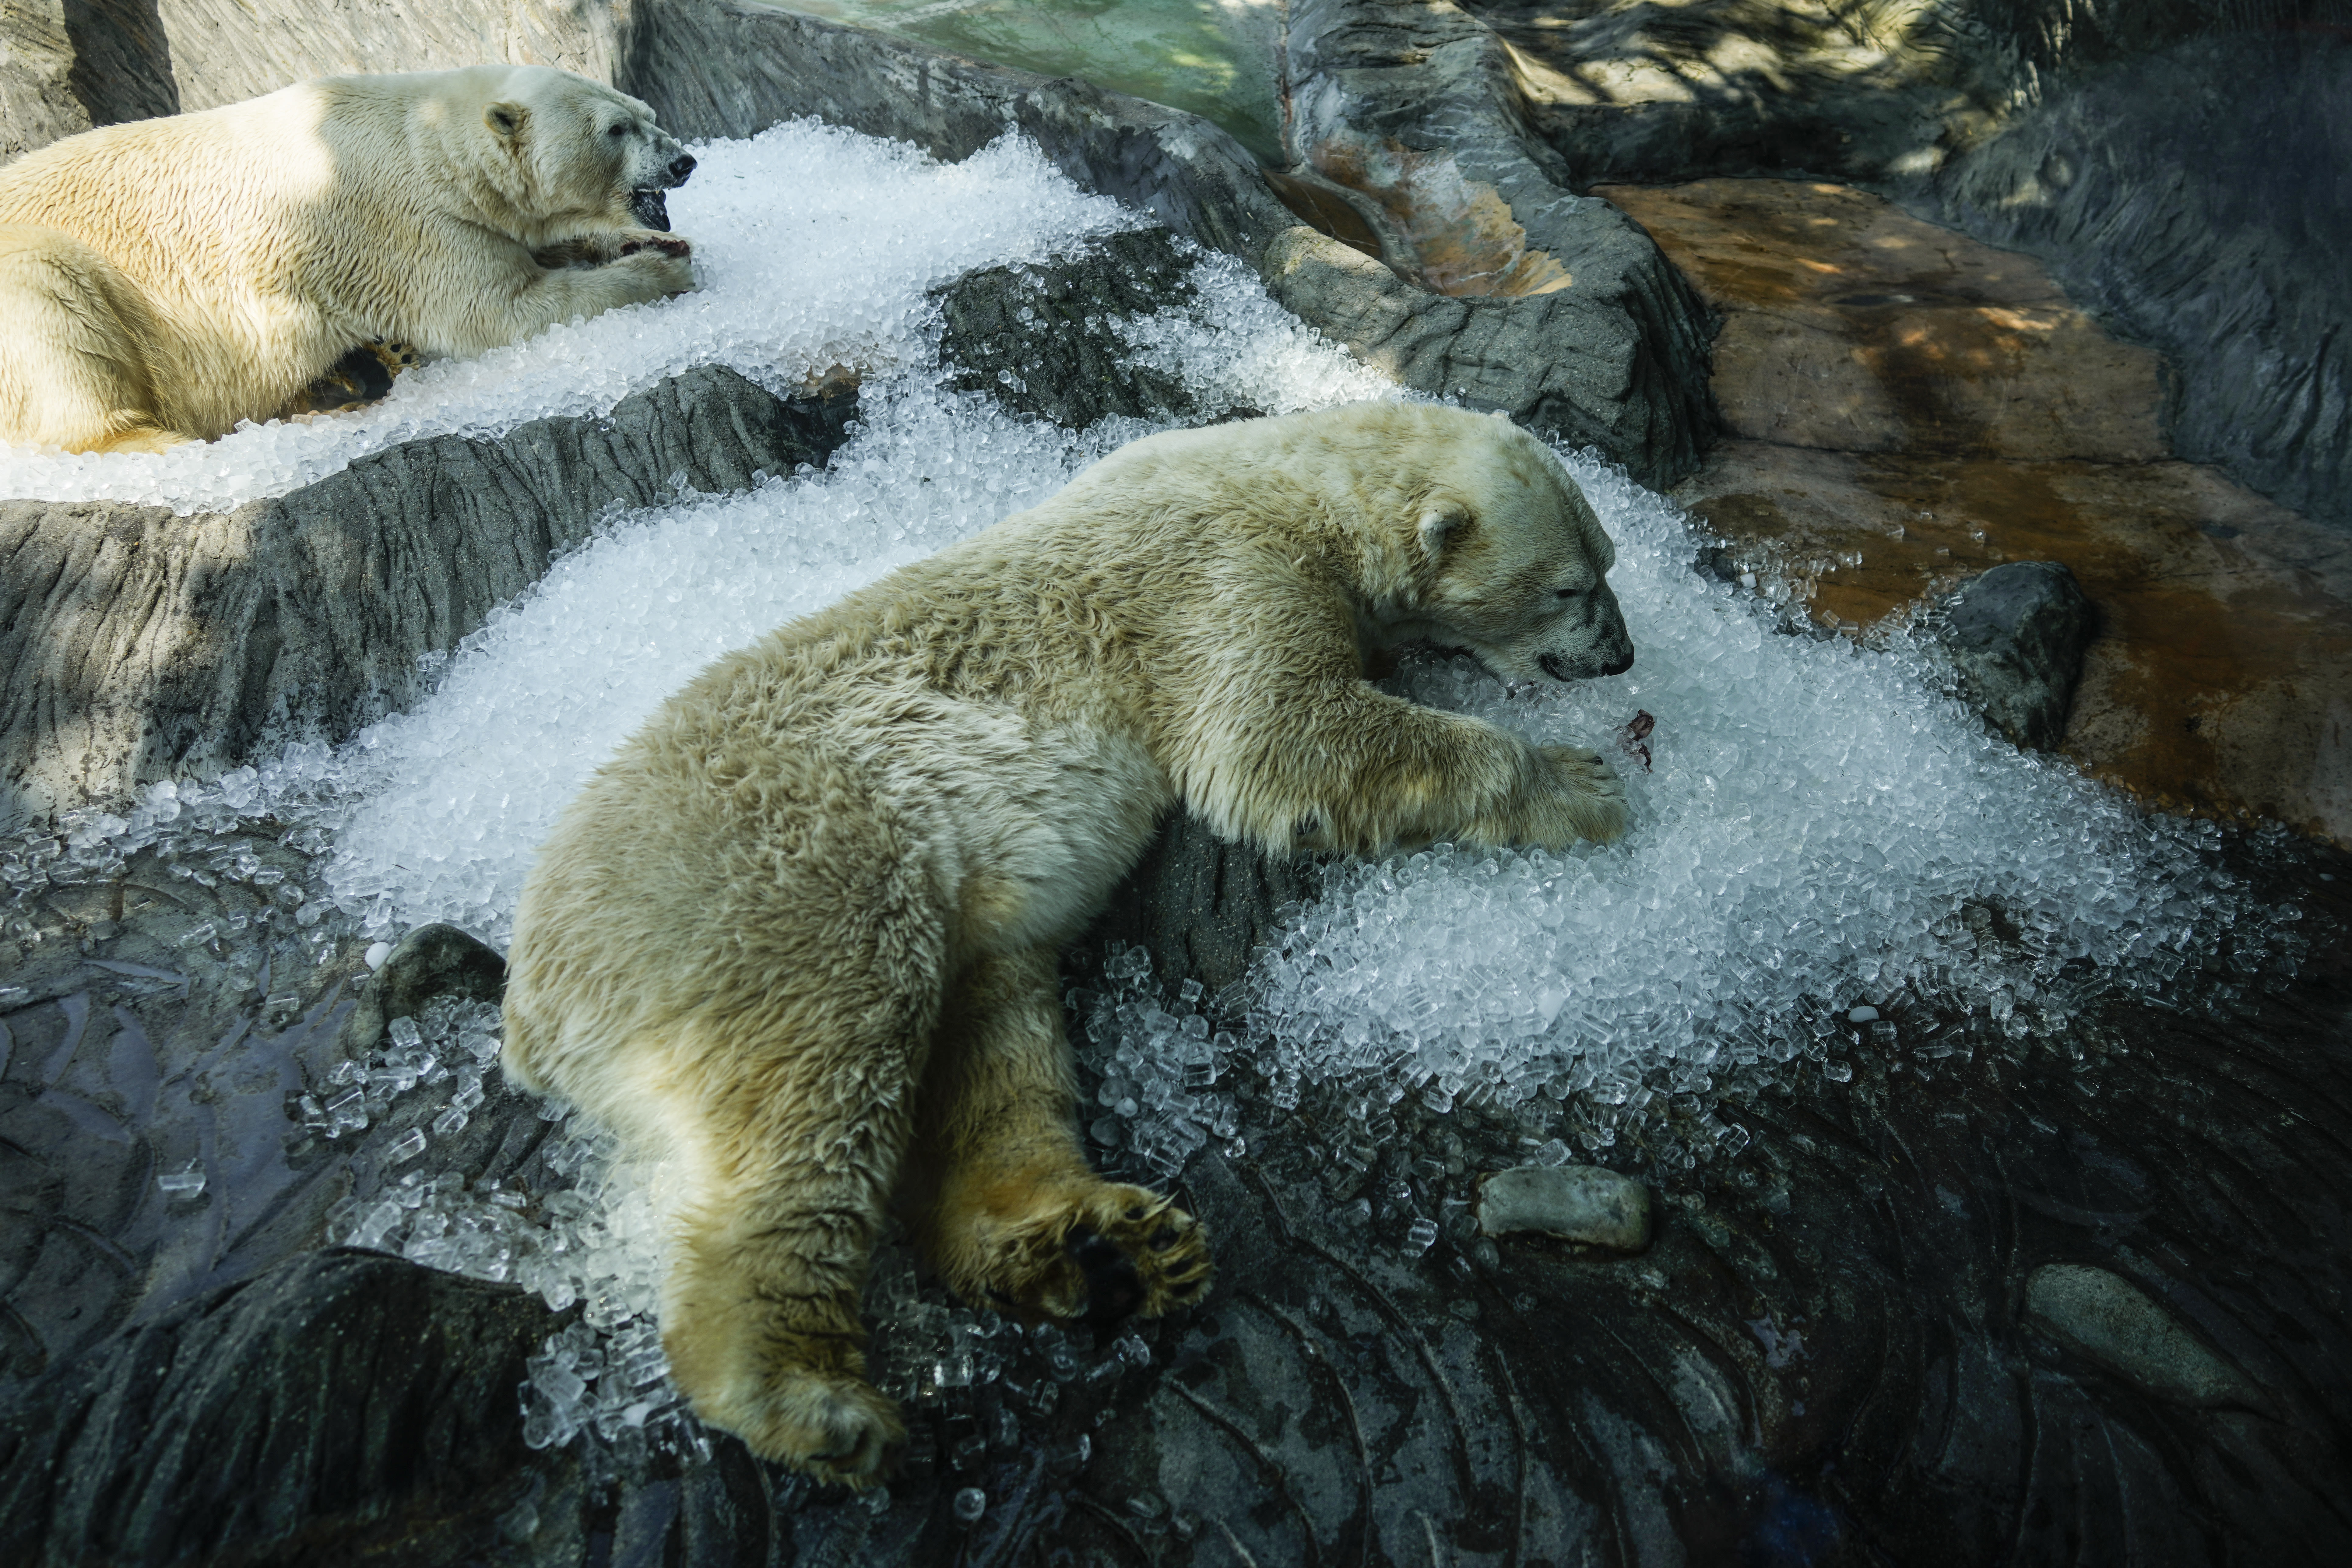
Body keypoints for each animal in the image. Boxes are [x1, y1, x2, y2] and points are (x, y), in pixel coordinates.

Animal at [0, 66, 696, 454]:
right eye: (614, 129)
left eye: (647, 114)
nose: (683, 161)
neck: (429, 139)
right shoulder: (408, 227)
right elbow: (503, 311)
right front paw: (662, 271)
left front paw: (650, 244)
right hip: (48, 270)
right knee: (56, 315)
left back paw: (351, 375)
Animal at [496, 402, 1637, 1485]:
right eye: (1572, 587)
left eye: (1609, 563)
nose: (1621, 656)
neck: (1284, 474)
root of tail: (533, 1010)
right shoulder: (1223, 579)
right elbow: (1279, 744)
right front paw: (1576, 783)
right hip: (780, 885)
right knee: (816, 1084)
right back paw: (806, 1398)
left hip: (932, 920)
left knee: (995, 1043)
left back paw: (1095, 1242)